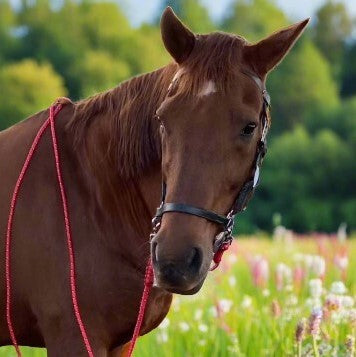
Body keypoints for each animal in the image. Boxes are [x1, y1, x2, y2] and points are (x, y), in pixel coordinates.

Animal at [0, 6, 308, 356]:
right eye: (162, 119)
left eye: (249, 127)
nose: (175, 261)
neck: (91, 196)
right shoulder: (72, 337)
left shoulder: (117, 343)